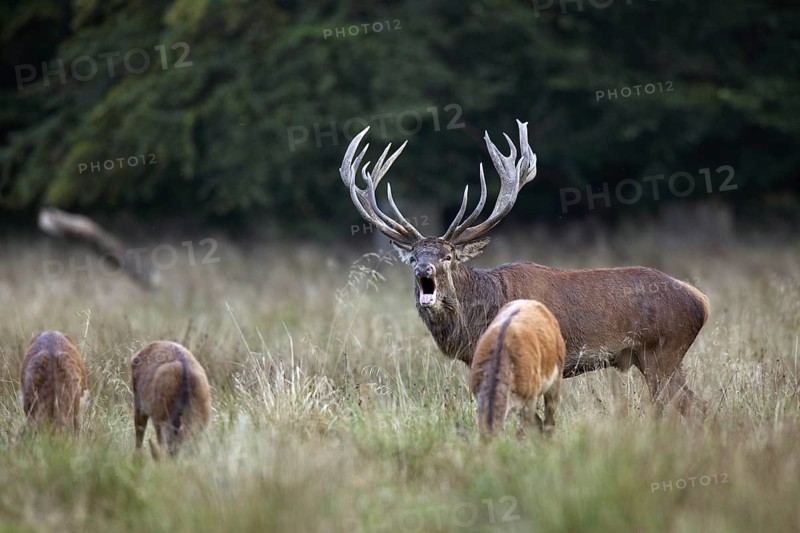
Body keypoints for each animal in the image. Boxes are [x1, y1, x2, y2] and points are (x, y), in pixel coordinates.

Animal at [338, 119, 710, 416]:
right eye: (414, 257)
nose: (423, 272)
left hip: (664, 351)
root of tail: (701, 300)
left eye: (448, 256)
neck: (481, 317)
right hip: (652, 358)